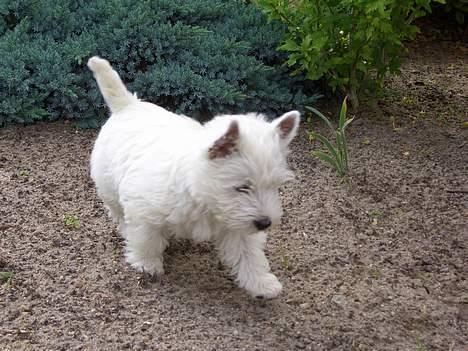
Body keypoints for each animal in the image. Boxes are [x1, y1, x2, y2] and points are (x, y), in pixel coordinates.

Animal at [88, 56, 300, 298]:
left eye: (275, 186)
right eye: (242, 187)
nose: (265, 223)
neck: (201, 193)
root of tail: (128, 105)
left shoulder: (238, 226)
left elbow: (250, 255)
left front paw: (261, 284)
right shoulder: (144, 210)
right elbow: (146, 239)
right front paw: (147, 264)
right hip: (108, 185)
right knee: (118, 212)